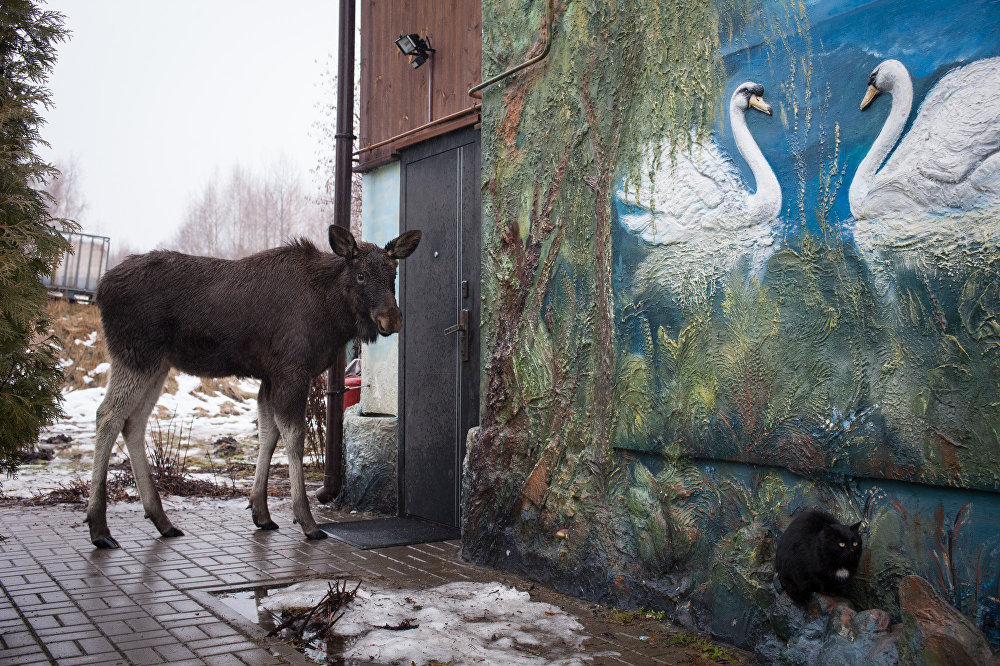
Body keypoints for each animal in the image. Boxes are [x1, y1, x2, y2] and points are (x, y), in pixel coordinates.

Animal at [87, 226, 426, 548]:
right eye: (360, 274)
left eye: (393, 274)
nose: (391, 319)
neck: (331, 315)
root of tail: (100, 289)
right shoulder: (292, 370)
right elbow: (294, 437)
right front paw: (306, 521)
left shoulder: (269, 376)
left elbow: (268, 433)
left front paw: (261, 512)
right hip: (136, 354)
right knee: (107, 415)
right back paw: (99, 528)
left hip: (158, 363)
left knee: (134, 422)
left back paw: (161, 520)